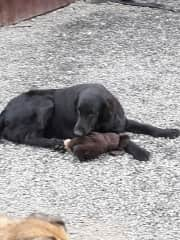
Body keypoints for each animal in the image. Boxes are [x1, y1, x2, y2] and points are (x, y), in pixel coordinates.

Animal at [0, 83, 179, 160]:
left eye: (92, 114)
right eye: (78, 111)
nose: (76, 133)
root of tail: (5, 110)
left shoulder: (123, 122)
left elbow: (146, 126)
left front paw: (169, 131)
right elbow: (126, 140)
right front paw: (141, 151)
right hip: (45, 102)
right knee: (27, 137)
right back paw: (55, 143)